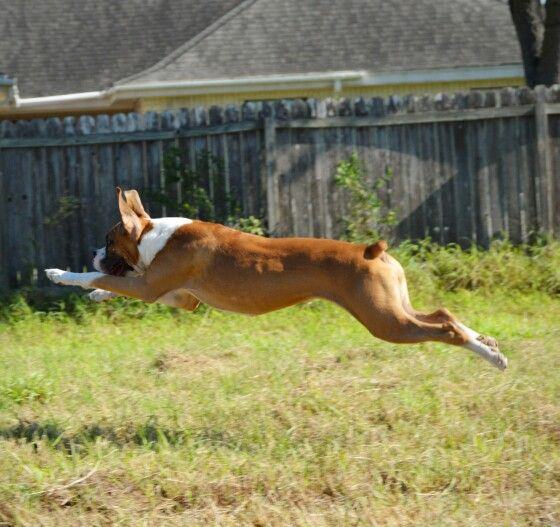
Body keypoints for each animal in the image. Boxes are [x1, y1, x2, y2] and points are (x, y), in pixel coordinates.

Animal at [44, 190, 508, 372]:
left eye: (109, 241)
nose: (94, 250)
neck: (155, 234)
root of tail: (372, 251)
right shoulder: (178, 297)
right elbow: (111, 287)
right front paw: (97, 294)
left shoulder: (149, 287)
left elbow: (101, 279)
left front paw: (63, 274)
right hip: (394, 309)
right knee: (445, 314)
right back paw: (487, 342)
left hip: (385, 321)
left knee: (445, 328)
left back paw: (491, 357)